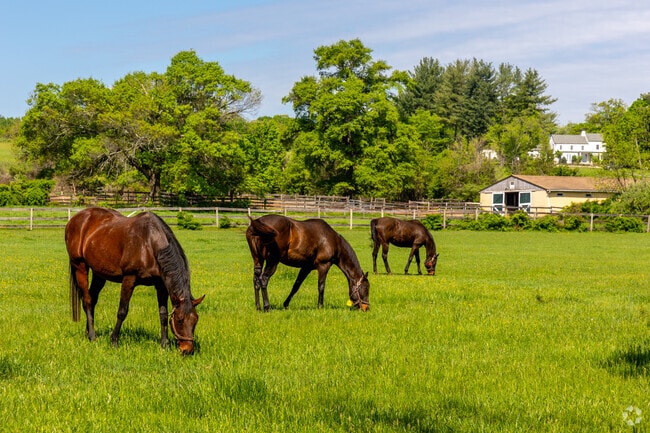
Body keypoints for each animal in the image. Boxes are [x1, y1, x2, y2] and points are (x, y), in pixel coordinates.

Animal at [64, 207, 205, 355]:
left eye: (195, 320)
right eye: (179, 320)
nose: (187, 350)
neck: (149, 243)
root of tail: (75, 219)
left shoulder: (161, 285)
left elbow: (163, 314)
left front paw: (165, 344)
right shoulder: (129, 279)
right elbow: (122, 311)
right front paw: (114, 341)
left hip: (99, 273)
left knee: (93, 299)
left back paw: (88, 332)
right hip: (80, 266)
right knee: (87, 300)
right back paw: (92, 336)